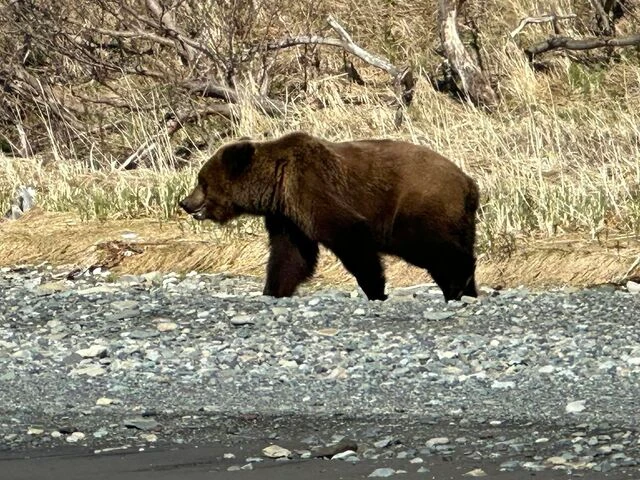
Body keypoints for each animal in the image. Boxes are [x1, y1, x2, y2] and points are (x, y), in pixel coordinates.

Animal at [178, 131, 480, 302]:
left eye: (202, 182)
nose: (185, 202)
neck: (276, 183)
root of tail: (469, 183)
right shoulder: (287, 217)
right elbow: (291, 255)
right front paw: (273, 289)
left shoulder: (311, 186)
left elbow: (349, 234)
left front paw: (376, 289)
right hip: (461, 218)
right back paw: (465, 290)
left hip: (417, 205)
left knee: (432, 247)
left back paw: (458, 283)